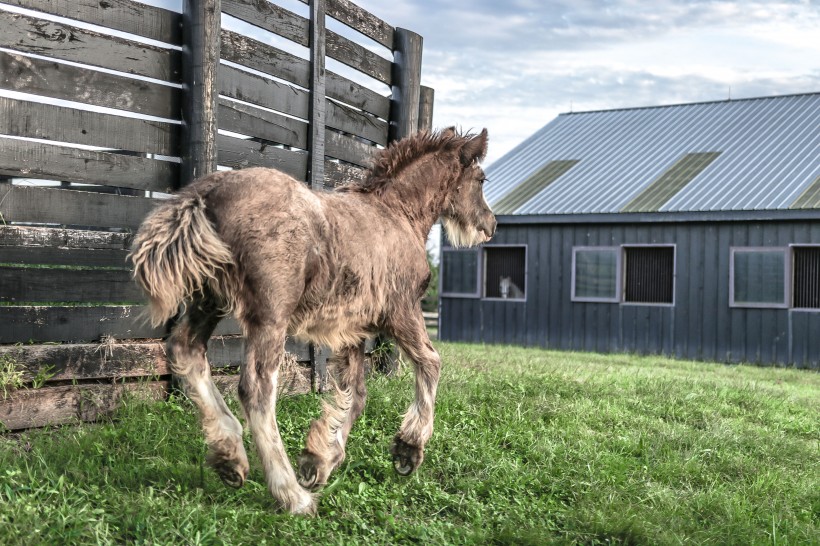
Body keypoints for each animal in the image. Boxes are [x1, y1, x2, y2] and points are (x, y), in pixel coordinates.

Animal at [131, 125, 496, 512]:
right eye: (481, 179)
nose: (491, 224)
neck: (399, 213)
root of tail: (206, 193)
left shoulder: (352, 330)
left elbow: (356, 395)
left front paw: (319, 461)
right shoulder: (401, 310)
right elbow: (430, 362)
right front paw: (407, 449)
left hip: (209, 299)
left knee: (185, 349)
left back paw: (231, 458)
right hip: (270, 315)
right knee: (255, 389)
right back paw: (291, 494)